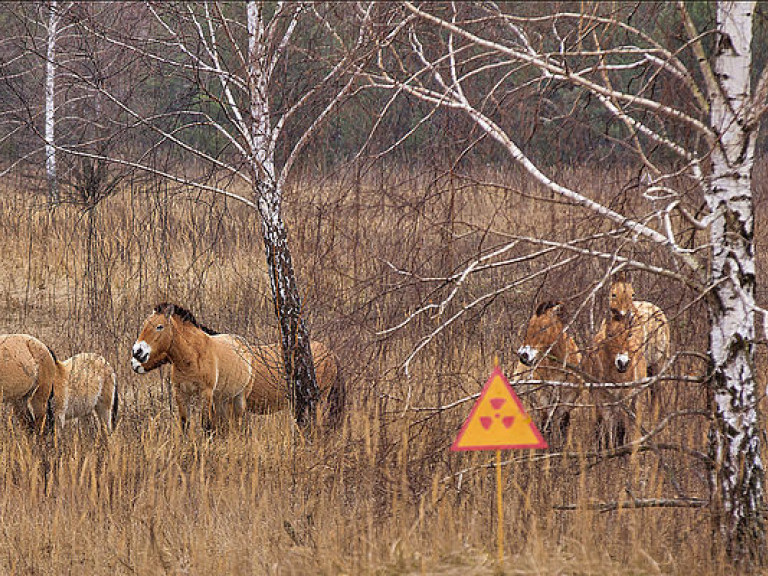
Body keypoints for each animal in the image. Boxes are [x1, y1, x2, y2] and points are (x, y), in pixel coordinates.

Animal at [516, 302, 584, 446]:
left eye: (543, 328)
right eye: (529, 326)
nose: (523, 356)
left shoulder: (567, 400)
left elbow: (563, 426)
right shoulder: (543, 397)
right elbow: (545, 426)